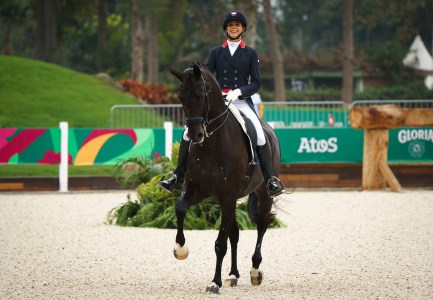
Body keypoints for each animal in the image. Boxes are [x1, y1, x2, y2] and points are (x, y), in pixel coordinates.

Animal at [167, 62, 282, 294]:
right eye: (181, 97)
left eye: (201, 95)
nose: (194, 136)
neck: (212, 144)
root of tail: (270, 130)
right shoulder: (198, 190)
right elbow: (180, 207)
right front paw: (180, 249)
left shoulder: (227, 196)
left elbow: (220, 243)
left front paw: (214, 282)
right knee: (235, 233)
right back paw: (233, 275)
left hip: (264, 193)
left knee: (261, 226)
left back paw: (255, 271)